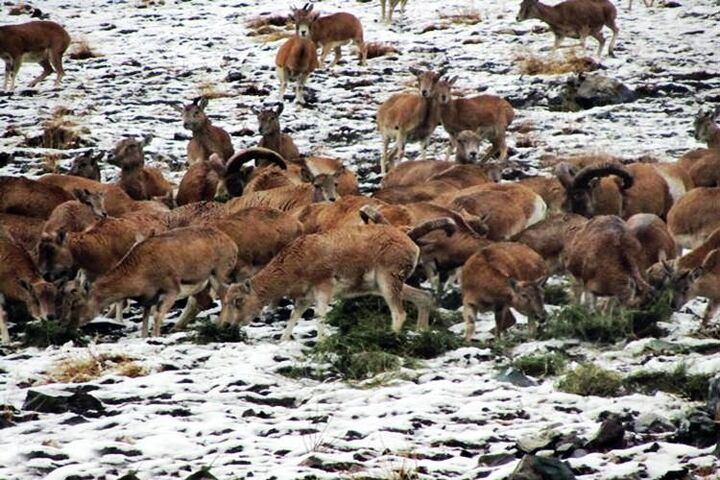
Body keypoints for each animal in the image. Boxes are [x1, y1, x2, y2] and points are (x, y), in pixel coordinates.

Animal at [76, 228, 239, 338]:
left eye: (77, 303)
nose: (77, 322)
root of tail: (232, 244)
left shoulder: (171, 292)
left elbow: (157, 315)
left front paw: (156, 336)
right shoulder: (149, 300)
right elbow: (145, 320)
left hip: (218, 275)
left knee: (225, 296)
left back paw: (220, 325)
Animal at [219, 223, 452, 340]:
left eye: (238, 300)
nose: (229, 325)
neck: (298, 260)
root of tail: (411, 243)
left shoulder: (324, 290)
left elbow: (320, 317)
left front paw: (321, 342)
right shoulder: (304, 299)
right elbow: (293, 319)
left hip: (388, 283)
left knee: (399, 313)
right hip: (389, 286)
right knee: (424, 298)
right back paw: (421, 333)